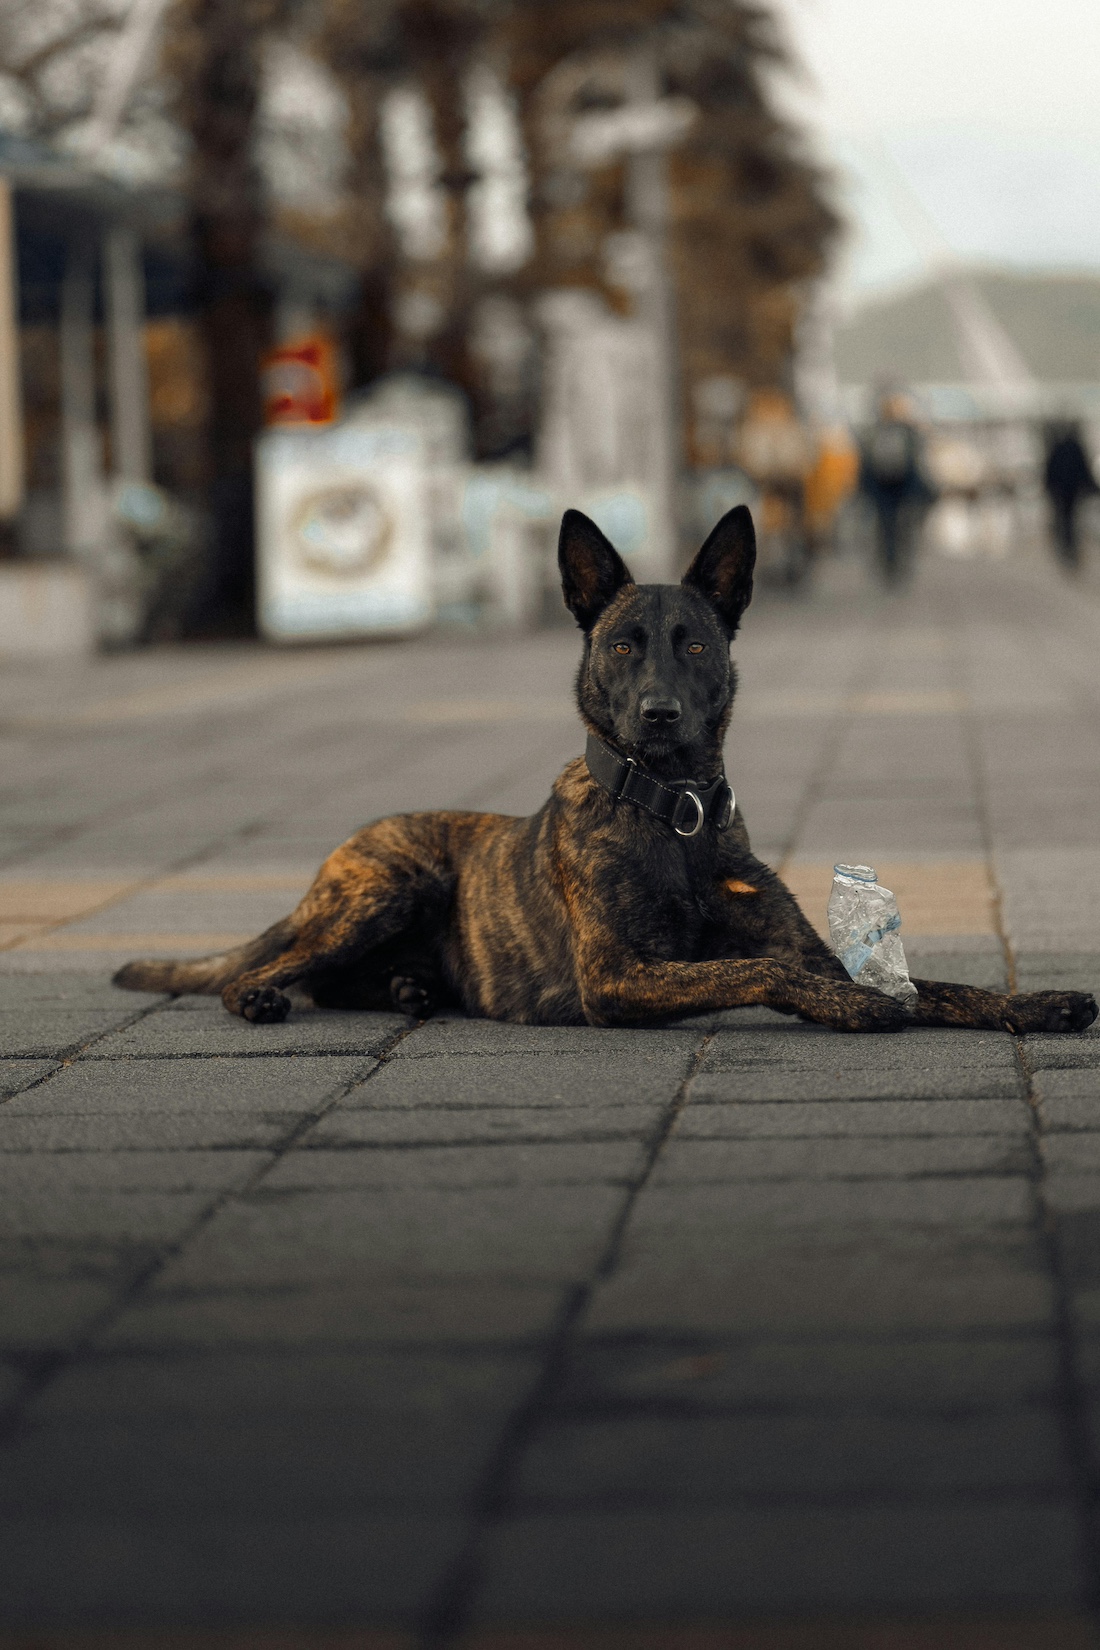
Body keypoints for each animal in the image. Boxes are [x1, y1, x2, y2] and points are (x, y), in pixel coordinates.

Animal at [116, 508, 1095, 1036]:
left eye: (694, 643)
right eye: (623, 644)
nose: (659, 714)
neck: (674, 812)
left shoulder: (803, 944)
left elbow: (937, 986)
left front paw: (1039, 1003)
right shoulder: (616, 976)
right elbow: (764, 973)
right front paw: (851, 1007)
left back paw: (407, 987)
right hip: (390, 886)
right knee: (279, 970)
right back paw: (269, 996)